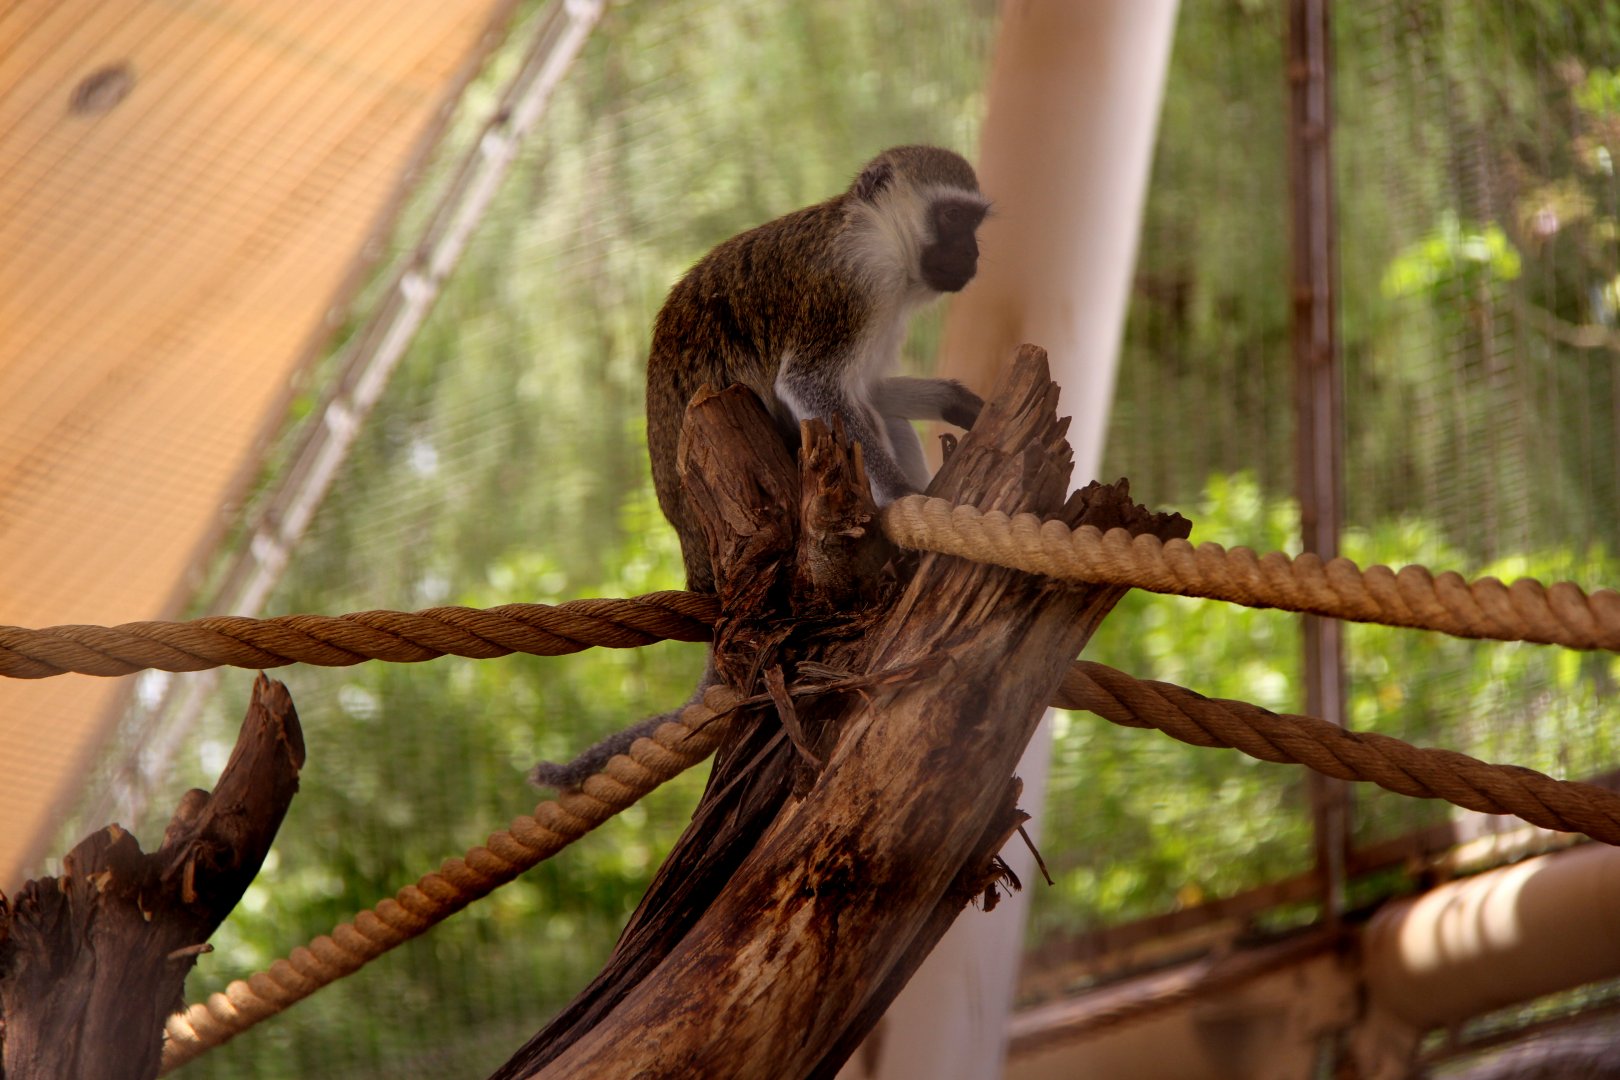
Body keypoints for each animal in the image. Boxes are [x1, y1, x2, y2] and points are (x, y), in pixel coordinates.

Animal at [528, 145, 989, 790]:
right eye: (951, 218)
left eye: (974, 222)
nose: (973, 253)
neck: (878, 238)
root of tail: (693, 549)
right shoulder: (849, 284)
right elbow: (812, 384)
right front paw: (902, 495)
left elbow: (867, 389)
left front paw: (955, 401)